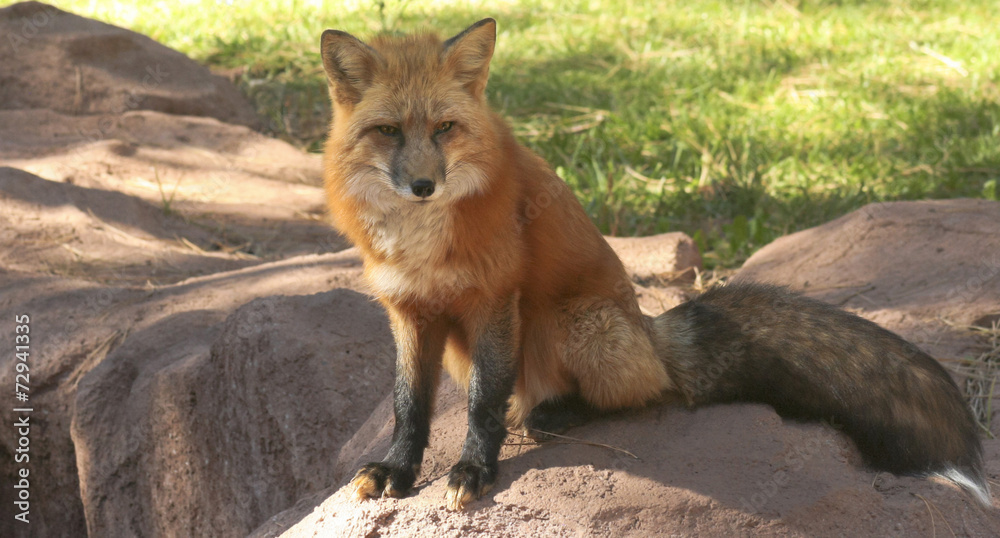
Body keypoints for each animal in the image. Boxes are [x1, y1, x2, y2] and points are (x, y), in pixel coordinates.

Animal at [318, 18, 991, 511]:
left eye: (445, 127)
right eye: (387, 131)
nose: (423, 185)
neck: (421, 244)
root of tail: (651, 330)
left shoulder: (494, 300)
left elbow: (483, 404)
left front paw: (474, 471)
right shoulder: (408, 310)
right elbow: (409, 404)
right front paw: (398, 470)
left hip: (578, 323)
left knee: (637, 394)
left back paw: (556, 412)